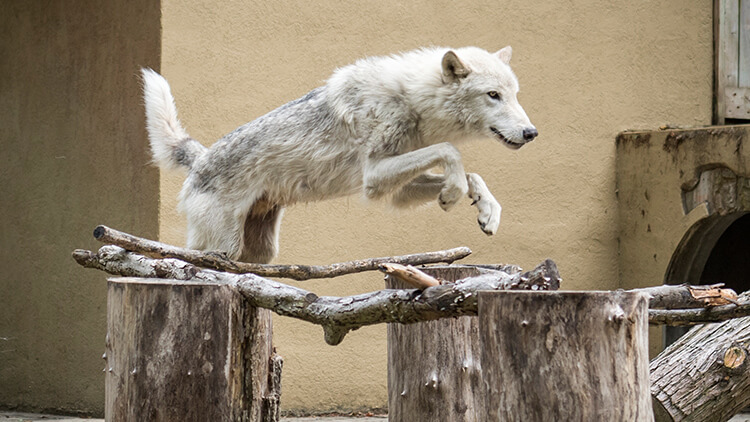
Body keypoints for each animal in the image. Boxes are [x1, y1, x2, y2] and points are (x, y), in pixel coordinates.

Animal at [141, 46, 537, 264]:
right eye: (493, 95)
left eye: (515, 95)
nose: (532, 133)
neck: (411, 98)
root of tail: (201, 157)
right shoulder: (374, 177)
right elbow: (451, 151)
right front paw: (453, 193)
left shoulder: (394, 192)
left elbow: (472, 173)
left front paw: (487, 212)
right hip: (224, 249)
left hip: (259, 251)